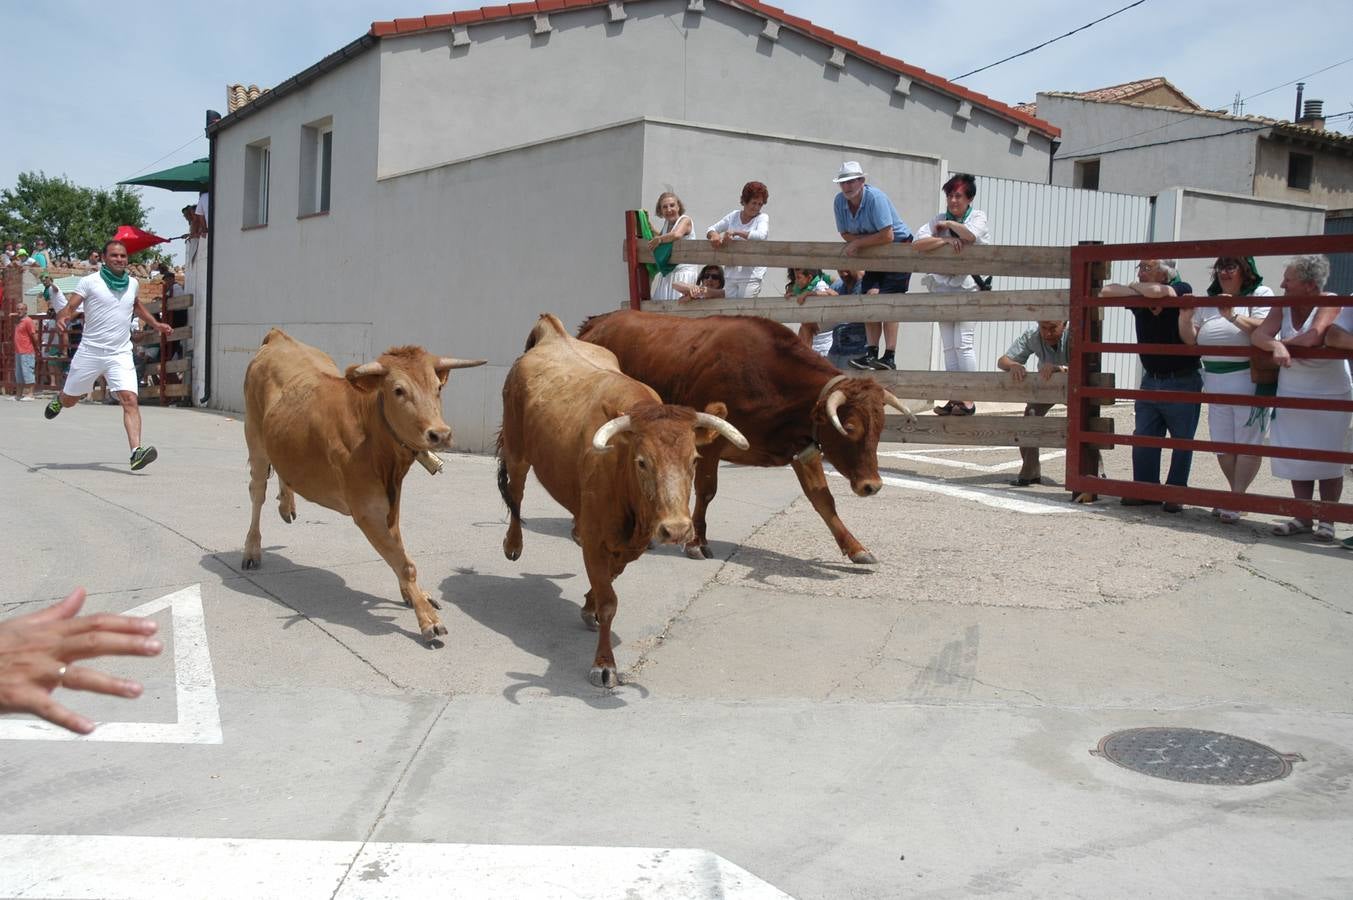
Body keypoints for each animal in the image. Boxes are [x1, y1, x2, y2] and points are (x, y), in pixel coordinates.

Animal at [243, 326, 487, 641]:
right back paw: (252, 549)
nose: (440, 434)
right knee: (257, 492)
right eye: (398, 390)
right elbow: (405, 563)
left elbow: (399, 553)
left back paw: (286, 504)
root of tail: (279, 336)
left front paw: (415, 595)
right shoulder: (365, 511)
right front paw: (427, 620)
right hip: (255, 438)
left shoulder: (391, 503)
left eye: (438, 388)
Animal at [500, 312, 752, 684]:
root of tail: (553, 334)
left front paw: (588, 607)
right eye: (642, 462)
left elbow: (610, 579)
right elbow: (609, 601)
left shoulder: (631, 543)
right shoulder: (596, 538)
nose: (678, 530)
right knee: (515, 493)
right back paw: (513, 544)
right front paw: (604, 663)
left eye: (694, 459)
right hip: (518, 451)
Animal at [576, 308, 914, 563]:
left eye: (880, 428)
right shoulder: (710, 443)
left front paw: (856, 548)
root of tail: (598, 321)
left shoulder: (803, 450)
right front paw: (697, 542)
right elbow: (707, 491)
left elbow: (822, 499)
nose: (872, 486)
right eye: (851, 427)